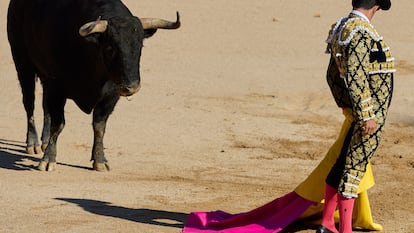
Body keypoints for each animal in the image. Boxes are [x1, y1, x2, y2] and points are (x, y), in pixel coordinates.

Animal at [6, 0, 180, 171]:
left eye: (140, 46)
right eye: (110, 47)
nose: (131, 87)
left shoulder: (111, 95)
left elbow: (99, 126)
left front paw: (100, 159)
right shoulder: (57, 88)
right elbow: (59, 124)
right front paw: (48, 159)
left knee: (45, 107)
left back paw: (44, 140)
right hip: (22, 62)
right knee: (29, 103)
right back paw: (33, 143)